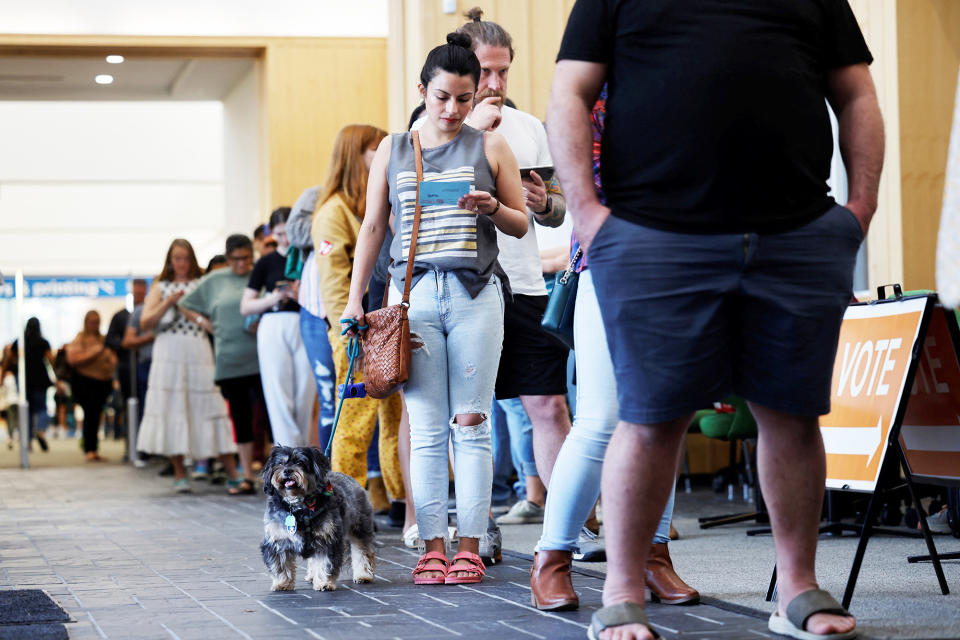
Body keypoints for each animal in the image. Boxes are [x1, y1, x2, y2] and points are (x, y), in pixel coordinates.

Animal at [260, 444, 376, 592]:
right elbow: (281, 565)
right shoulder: (278, 541)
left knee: (362, 551)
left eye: (300, 462)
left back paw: (363, 575)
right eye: (280, 463)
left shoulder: (327, 540)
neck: (298, 506)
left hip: (360, 528)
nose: (287, 471)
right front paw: (282, 583)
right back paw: (311, 576)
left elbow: (325, 563)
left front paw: (324, 583)